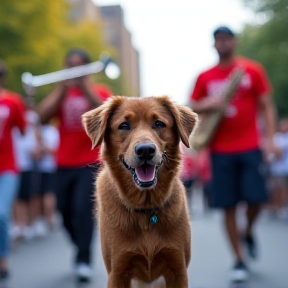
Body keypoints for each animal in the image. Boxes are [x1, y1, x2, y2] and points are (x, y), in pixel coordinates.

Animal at [82, 97, 197, 288]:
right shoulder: (118, 272)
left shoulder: (178, 269)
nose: (145, 150)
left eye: (159, 123)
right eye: (124, 125)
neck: (146, 208)